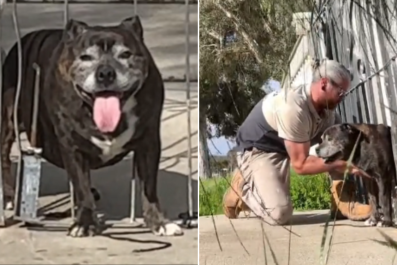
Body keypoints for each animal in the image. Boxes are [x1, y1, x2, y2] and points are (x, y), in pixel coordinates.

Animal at [0, 15, 183, 236]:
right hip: (8, 118)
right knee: (4, 157)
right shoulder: (72, 147)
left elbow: (149, 187)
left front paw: (159, 222)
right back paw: (8, 197)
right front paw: (85, 222)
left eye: (125, 54)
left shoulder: (149, 144)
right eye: (86, 57)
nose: (105, 73)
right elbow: (81, 185)